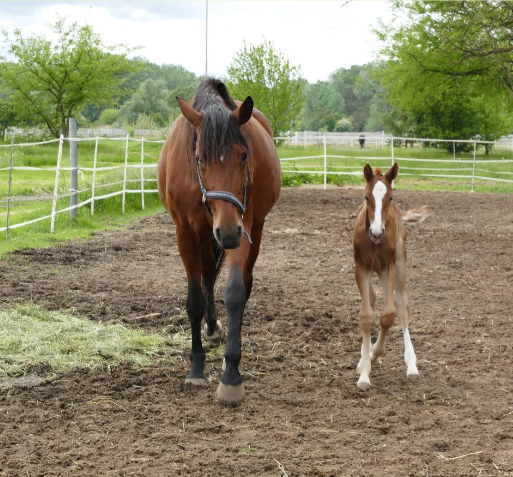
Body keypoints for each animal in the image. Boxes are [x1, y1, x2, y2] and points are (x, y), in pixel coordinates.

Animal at [159, 80, 282, 404]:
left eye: (243, 155)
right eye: (200, 158)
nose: (226, 232)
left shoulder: (243, 227)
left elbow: (236, 293)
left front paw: (231, 375)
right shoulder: (186, 234)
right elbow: (194, 299)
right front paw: (196, 367)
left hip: (252, 229)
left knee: (239, 281)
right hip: (205, 237)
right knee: (206, 277)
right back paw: (211, 328)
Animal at [352, 164, 428, 390]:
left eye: (390, 197)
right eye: (366, 197)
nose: (377, 232)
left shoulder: (389, 268)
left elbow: (388, 314)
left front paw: (373, 356)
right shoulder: (361, 268)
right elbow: (366, 316)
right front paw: (364, 372)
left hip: (401, 265)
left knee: (401, 304)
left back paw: (411, 365)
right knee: (372, 299)